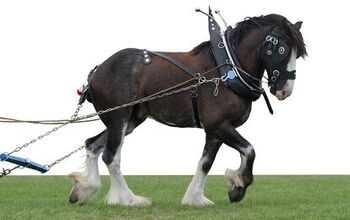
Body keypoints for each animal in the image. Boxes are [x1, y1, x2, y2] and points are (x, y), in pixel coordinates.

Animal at [68, 13, 306, 206]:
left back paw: (86, 189)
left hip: (130, 119)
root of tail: (97, 71)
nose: (285, 90)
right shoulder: (218, 125)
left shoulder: (216, 130)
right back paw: (129, 199)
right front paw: (237, 187)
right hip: (119, 118)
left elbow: (206, 163)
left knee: (92, 145)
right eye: (282, 49)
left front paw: (195, 198)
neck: (227, 71)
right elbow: (249, 150)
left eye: (298, 54)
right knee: (111, 156)